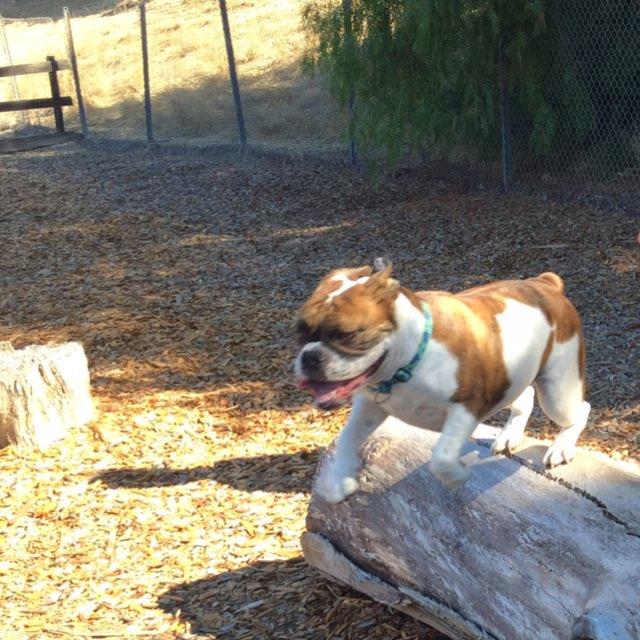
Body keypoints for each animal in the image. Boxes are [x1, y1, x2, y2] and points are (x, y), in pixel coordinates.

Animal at [296, 260, 592, 500]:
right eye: (299, 331)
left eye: (346, 335)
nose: (310, 356)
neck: (411, 357)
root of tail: (545, 284)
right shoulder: (370, 406)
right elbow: (347, 437)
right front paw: (338, 480)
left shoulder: (467, 407)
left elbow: (441, 458)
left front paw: (458, 476)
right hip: (511, 379)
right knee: (525, 397)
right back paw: (510, 434)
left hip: (557, 394)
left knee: (579, 411)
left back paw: (561, 447)